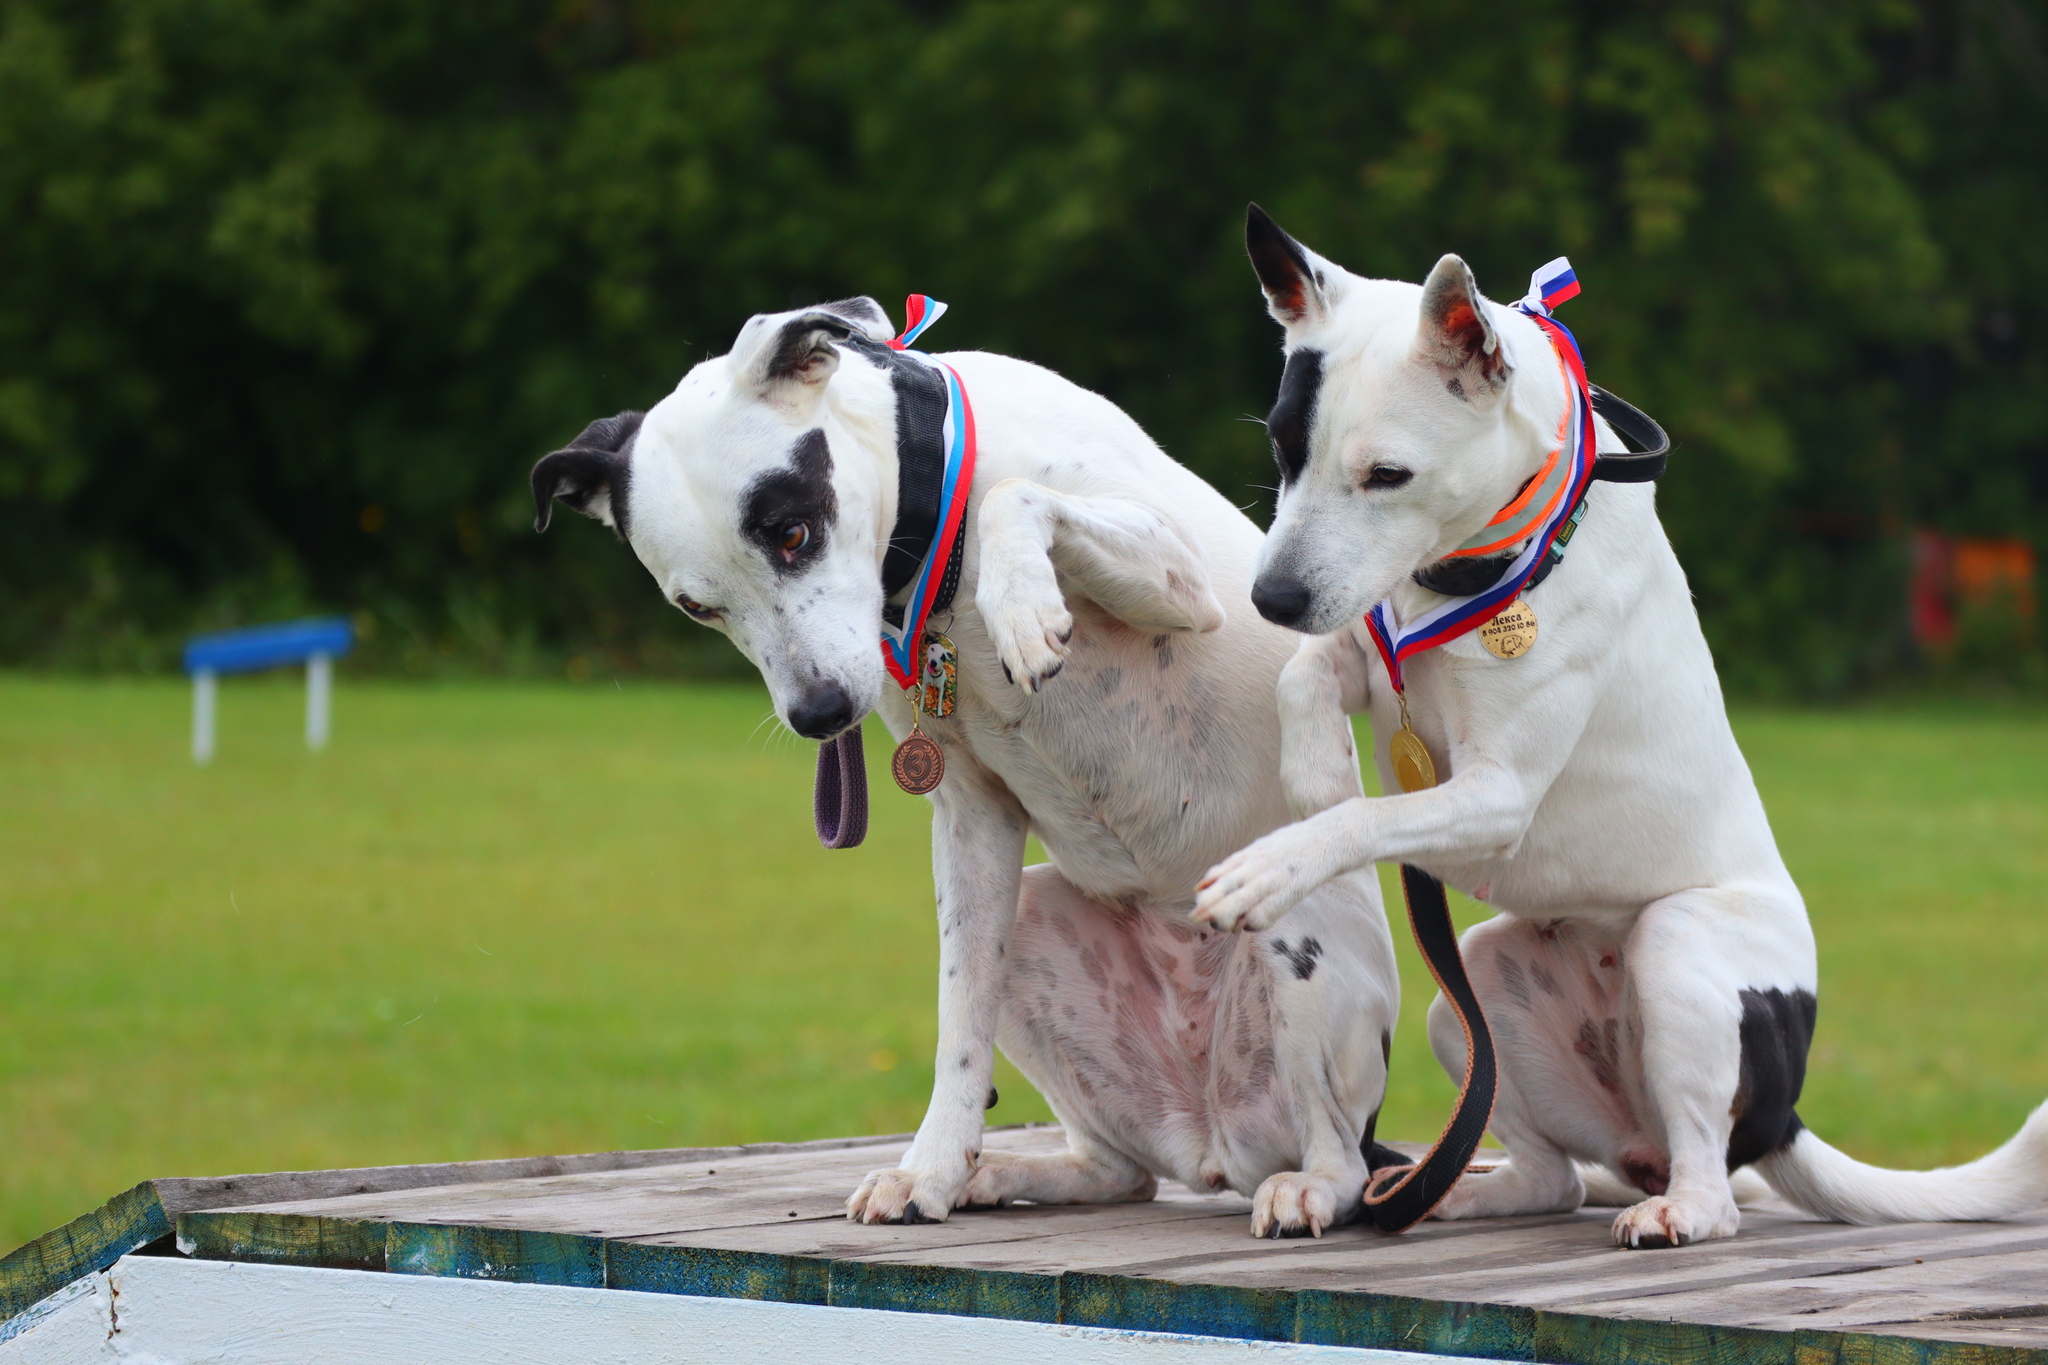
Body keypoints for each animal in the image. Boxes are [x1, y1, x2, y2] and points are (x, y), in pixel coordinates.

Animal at [528, 294, 1400, 1236]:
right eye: (697, 605)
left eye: (793, 531)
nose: (819, 712)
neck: (932, 550)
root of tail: (1217, 1140)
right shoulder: (972, 815)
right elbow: (958, 1027)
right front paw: (934, 1169)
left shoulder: (1182, 578)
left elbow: (1018, 501)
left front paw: (1022, 605)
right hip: (1037, 927)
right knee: (1120, 1171)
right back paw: (1011, 1171)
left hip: (1290, 932)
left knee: (1343, 1157)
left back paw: (1310, 1184)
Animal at [1187, 205, 2048, 1252]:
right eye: (1283, 450)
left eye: (1388, 474)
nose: (1271, 596)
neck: (1482, 560)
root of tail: (1780, 1112)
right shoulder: (1364, 645)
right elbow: (1305, 679)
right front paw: (1314, 770)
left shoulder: (1495, 795)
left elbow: (1363, 814)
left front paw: (1271, 865)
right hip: (1477, 993)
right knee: (1550, 1174)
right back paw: (1456, 1185)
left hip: (1676, 952)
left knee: (1710, 1180)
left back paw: (1677, 1207)